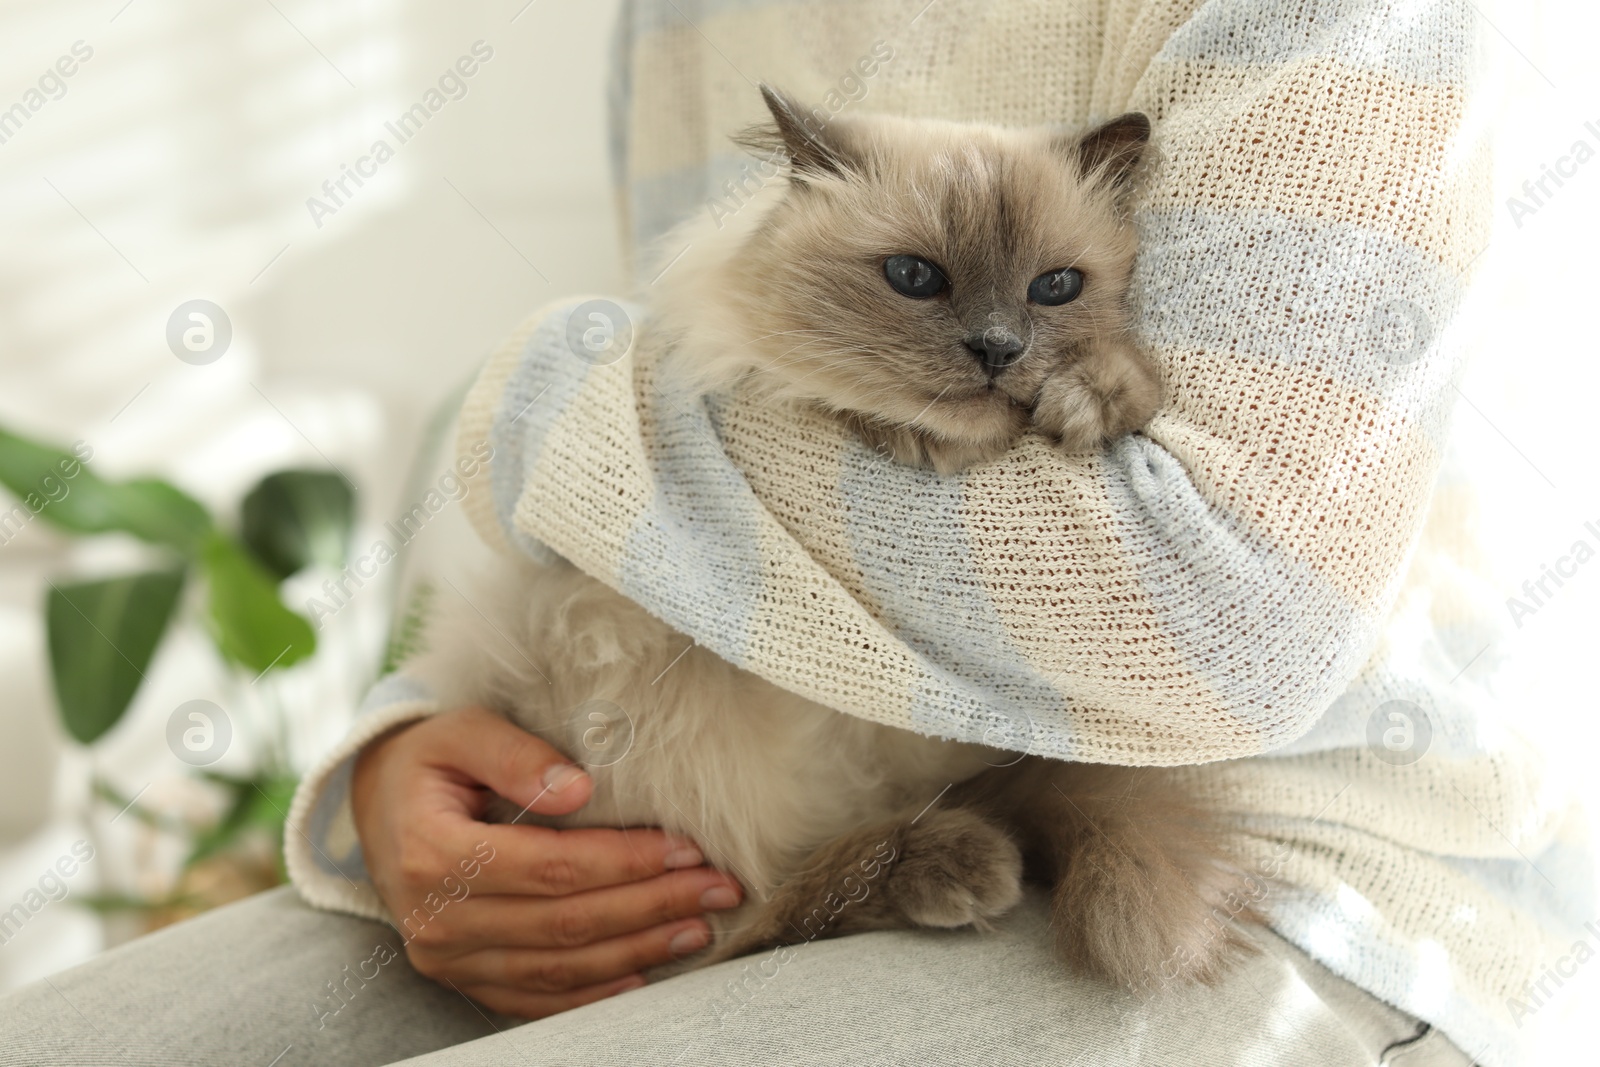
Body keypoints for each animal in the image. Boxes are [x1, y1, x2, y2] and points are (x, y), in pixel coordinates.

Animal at [416, 83, 1260, 991]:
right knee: (754, 913)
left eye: (1056, 286)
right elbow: (824, 390)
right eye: (914, 277)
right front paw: (923, 434)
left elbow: (1130, 381)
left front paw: (1090, 399)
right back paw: (957, 866)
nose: (999, 349)